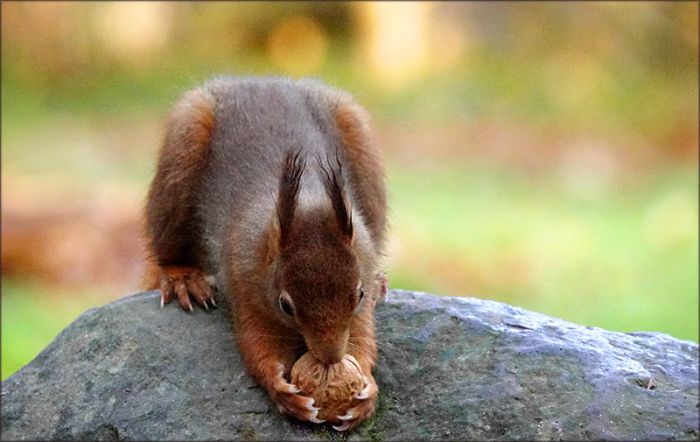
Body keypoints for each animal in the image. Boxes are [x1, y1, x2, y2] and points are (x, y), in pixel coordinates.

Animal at [143, 76, 388, 431]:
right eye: (285, 305)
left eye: (359, 295)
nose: (330, 357)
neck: (310, 200)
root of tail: (257, 80)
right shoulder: (244, 280)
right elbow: (257, 344)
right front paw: (281, 390)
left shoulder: (362, 267)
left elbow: (361, 337)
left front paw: (366, 393)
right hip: (181, 157)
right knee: (168, 246)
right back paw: (182, 278)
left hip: (359, 138)